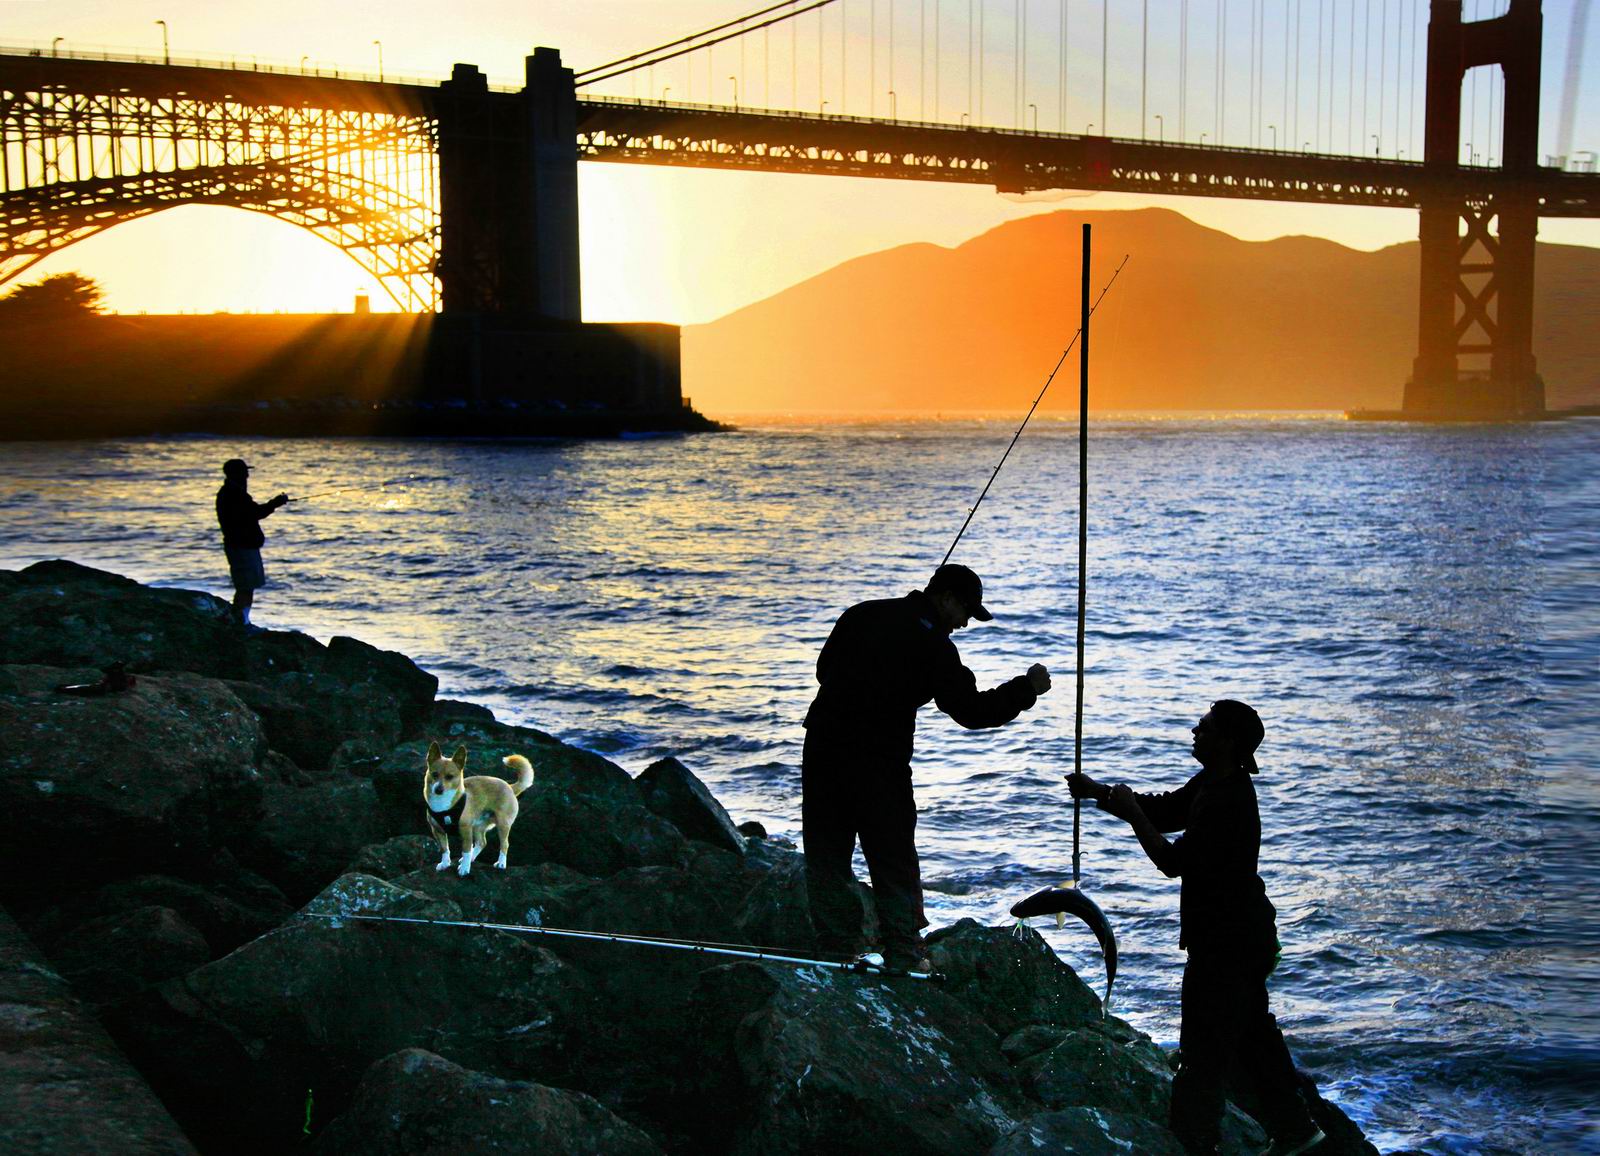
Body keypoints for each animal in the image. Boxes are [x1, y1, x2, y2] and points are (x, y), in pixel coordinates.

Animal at [422, 739, 534, 871]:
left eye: (450, 777)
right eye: (434, 774)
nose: (438, 789)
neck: (443, 805)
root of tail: (510, 787)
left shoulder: (466, 831)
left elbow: (466, 850)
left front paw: (464, 869)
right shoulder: (437, 831)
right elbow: (444, 849)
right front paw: (445, 863)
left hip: (503, 825)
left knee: (504, 844)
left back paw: (501, 863)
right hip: (477, 826)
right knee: (482, 842)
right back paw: (472, 858)